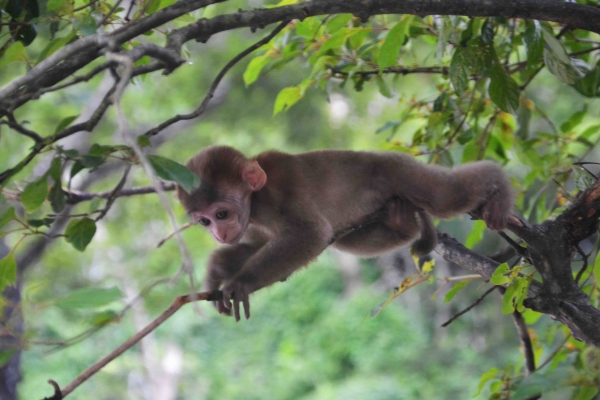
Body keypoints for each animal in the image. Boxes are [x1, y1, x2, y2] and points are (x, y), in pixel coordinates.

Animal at [176, 145, 512, 320]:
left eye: (221, 214)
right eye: (204, 221)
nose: (218, 234)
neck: (255, 201)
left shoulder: (277, 198)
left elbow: (311, 235)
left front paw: (241, 282)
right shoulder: (255, 223)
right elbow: (250, 247)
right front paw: (216, 272)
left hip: (398, 170)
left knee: (444, 195)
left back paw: (497, 184)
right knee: (349, 239)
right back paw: (403, 224)